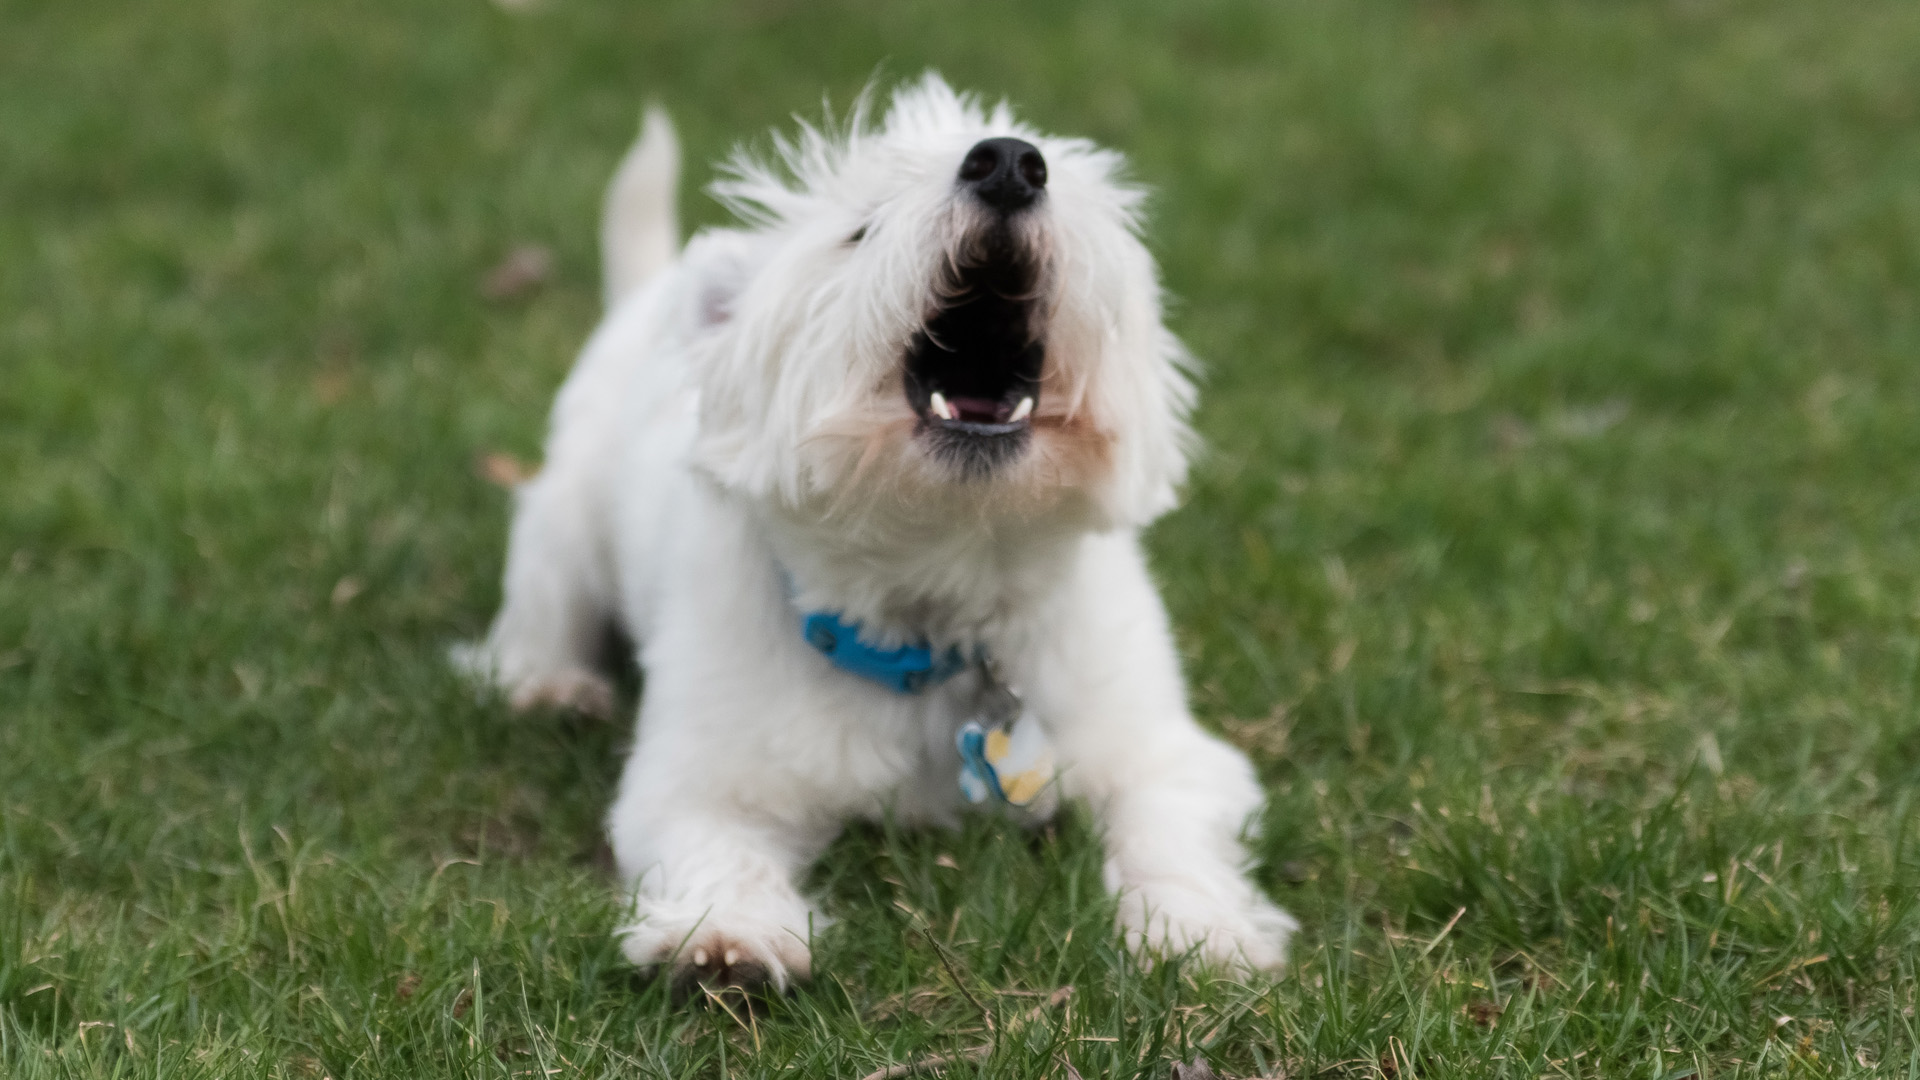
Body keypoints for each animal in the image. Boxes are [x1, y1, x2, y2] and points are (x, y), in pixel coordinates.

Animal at [462, 73, 1297, 983]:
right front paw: (731, 937)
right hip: (561, 530)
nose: (1009, 163)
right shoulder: (700, 779)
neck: (932, 602)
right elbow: (713, 848)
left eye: (1069, 191)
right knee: (540, 616)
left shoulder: (1162, 753)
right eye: (859, 230)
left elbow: (1168, 837)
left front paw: (1198, 932)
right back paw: (553, 688)